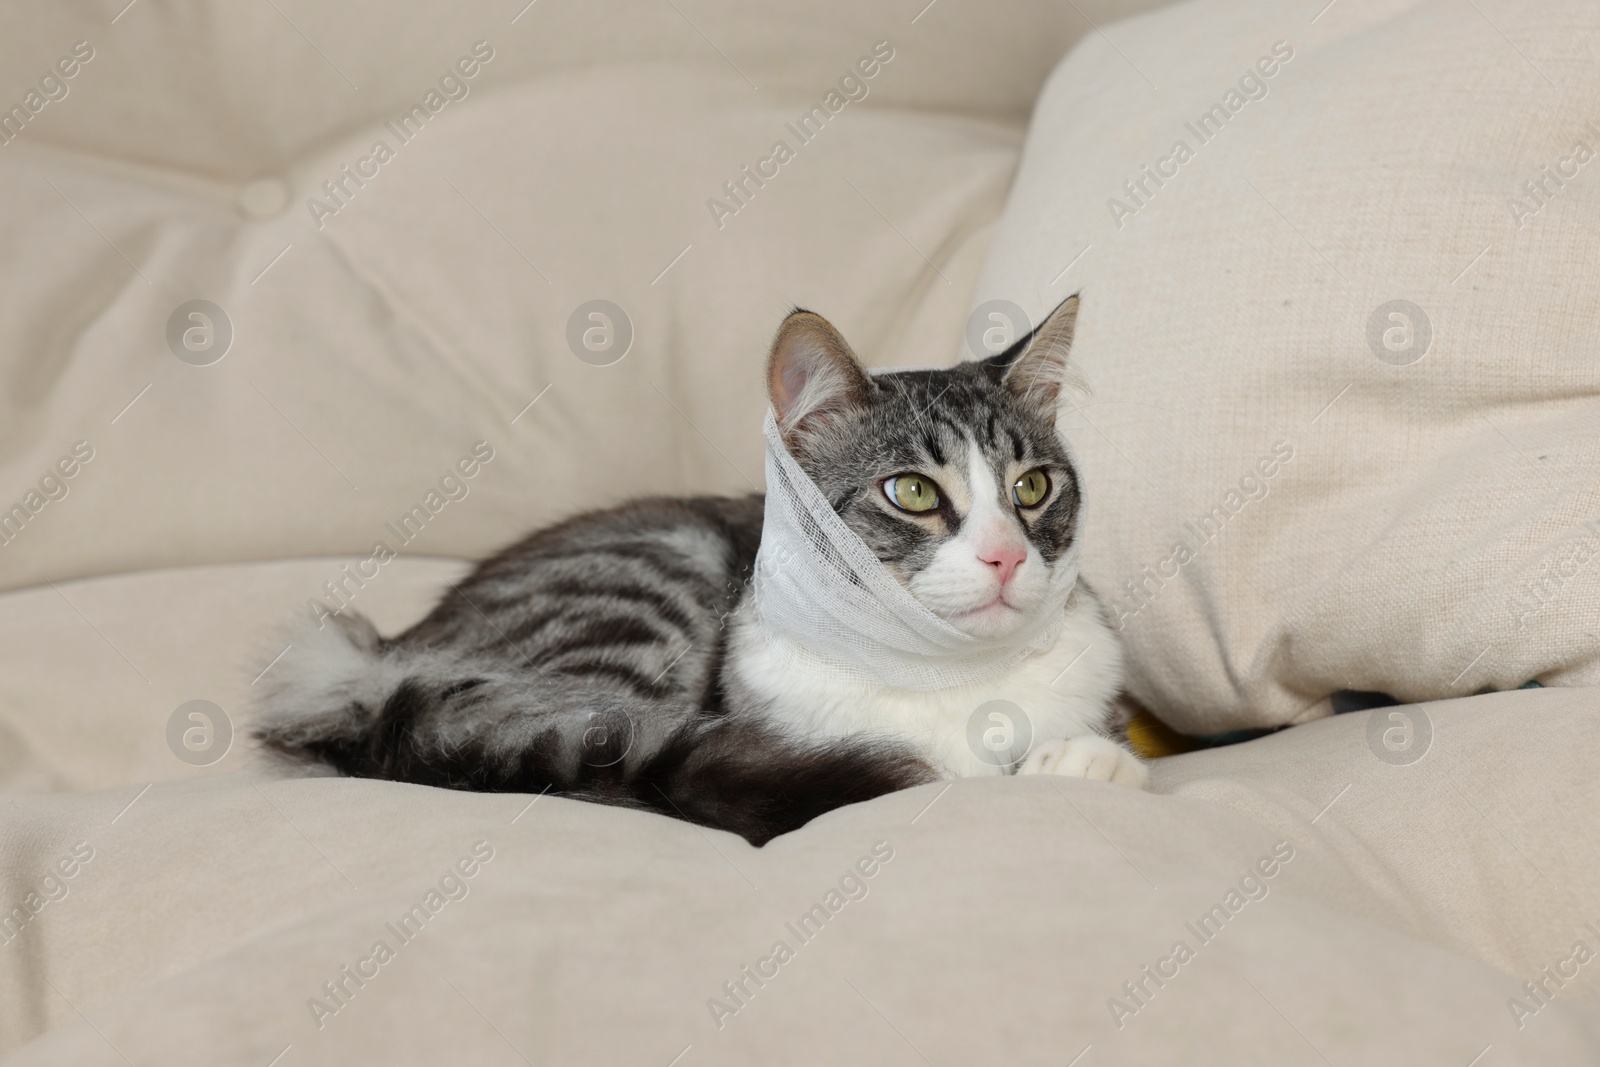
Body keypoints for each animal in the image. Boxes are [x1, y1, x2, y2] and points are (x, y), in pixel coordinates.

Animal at [256, 292, 1145, 844]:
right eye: (914, 492)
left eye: (1032, 487)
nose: (1006, 555)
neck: (952, 674)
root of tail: (377, 663)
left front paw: (1083, 760)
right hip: (643, 588)